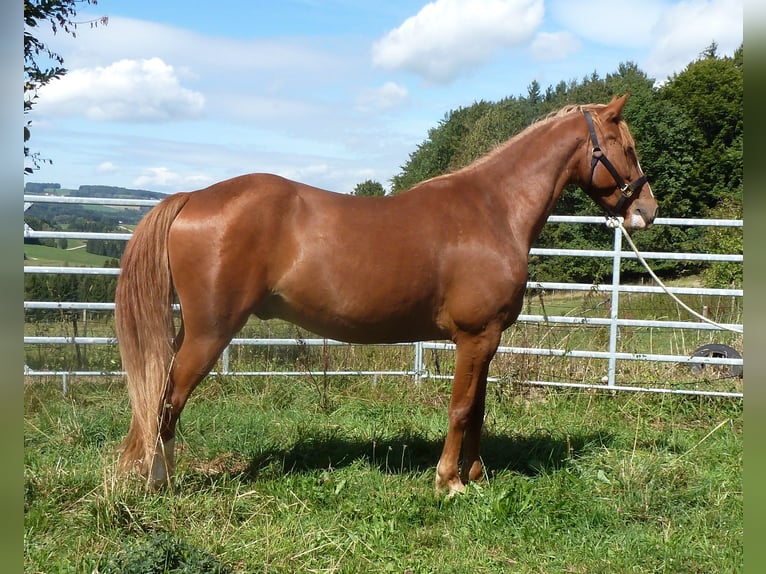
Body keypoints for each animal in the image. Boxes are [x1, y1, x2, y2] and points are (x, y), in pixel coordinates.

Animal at [115, 93, 657, 497]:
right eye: (626, 147)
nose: (647, 211)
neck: (494, 210)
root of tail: (191, 198)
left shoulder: (487, 340)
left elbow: (478, 410)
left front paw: (477, 477)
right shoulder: (475, 336)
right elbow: (461, 408)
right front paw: (448, 482)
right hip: (210, 333)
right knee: (166, 400)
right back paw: (159, 483)